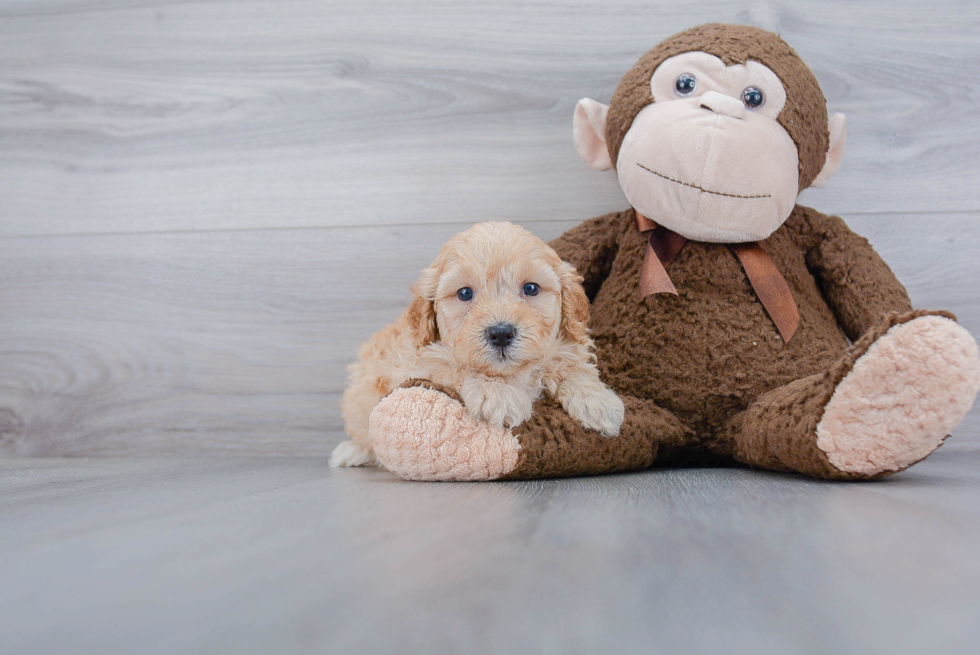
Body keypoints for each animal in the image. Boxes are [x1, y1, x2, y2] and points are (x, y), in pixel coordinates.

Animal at [328, 223, 620, 468]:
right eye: (465, 293)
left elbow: (570, 365)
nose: (500, 333)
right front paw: (498, 394)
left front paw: (597, 401)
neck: (512, 374)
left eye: (531, 288)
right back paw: (352, 451)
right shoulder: (419, 362)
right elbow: (455, 365)